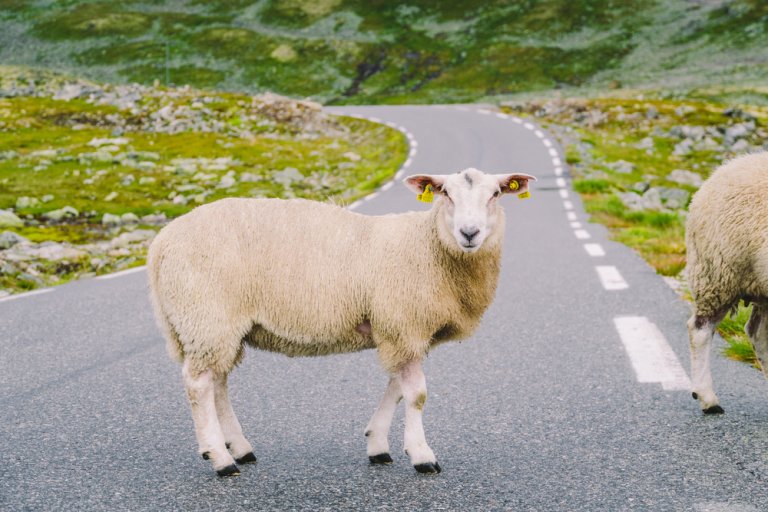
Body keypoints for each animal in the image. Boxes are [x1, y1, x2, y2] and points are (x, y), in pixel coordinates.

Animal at [148, 167, 536, 476]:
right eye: (445, 194)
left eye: (495, 194)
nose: (469, 233)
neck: (429, 246)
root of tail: (160, 244)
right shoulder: (404, 323)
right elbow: (417, 395)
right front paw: (422, 455)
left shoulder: (398, 330)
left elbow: (397, 387)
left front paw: (378, 445)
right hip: (206, 317)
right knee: (199, 385)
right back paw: (220, 459)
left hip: (217, 328)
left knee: (219, 383)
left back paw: (239, 448)